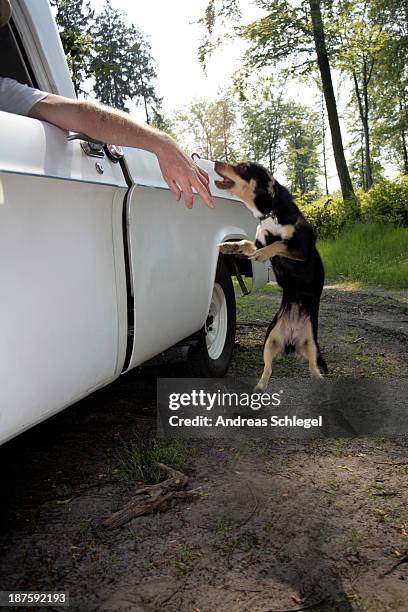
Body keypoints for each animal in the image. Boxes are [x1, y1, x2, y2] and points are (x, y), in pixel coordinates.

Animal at [214, 158, 328, 388]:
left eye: (242, 167)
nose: (215, 162)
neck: (270, 213)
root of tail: (292, 341)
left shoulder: (300, 249)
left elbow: (279, 244)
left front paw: (262, 254)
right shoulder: (256, 242)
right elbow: (244, 243)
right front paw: (228, 246)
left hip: (312, 344)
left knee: (313, 368)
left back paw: (318, 380)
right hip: (269, 340)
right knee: (268, 369)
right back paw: (259, 388)